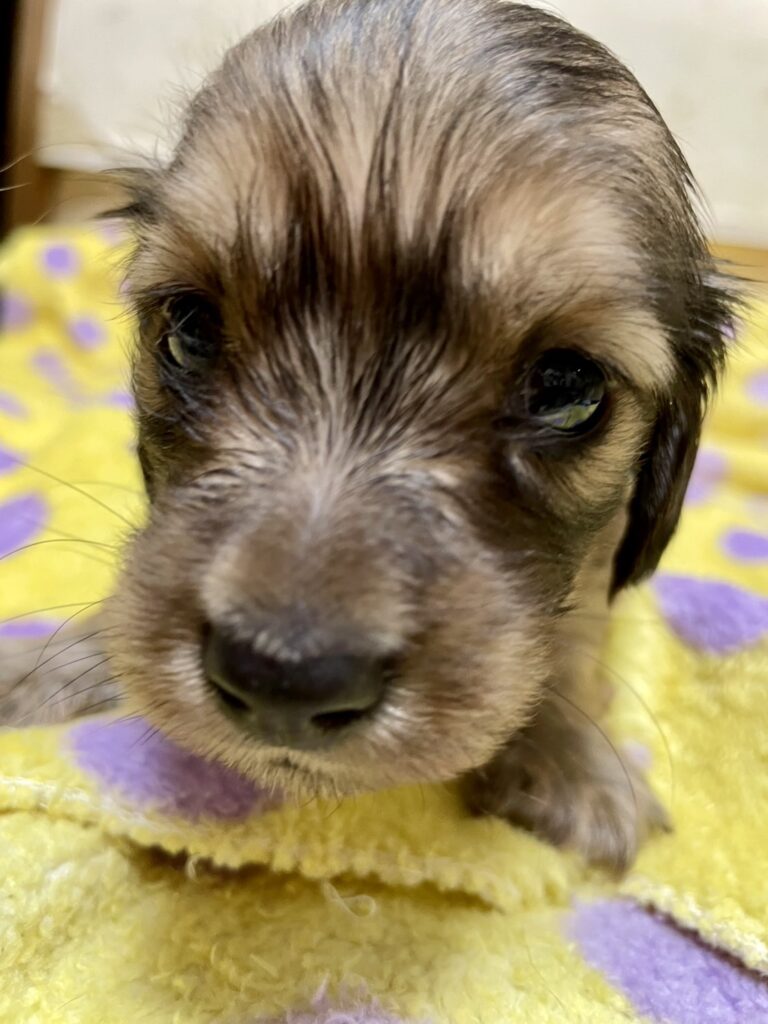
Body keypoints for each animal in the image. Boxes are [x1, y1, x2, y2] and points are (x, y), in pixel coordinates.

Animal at [0, 0, 734, 871]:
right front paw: (51, 663)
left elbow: (578, 631)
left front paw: (570, 762)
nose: (283, 681)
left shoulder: (600, 554)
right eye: (189, 328)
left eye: (567, 389)